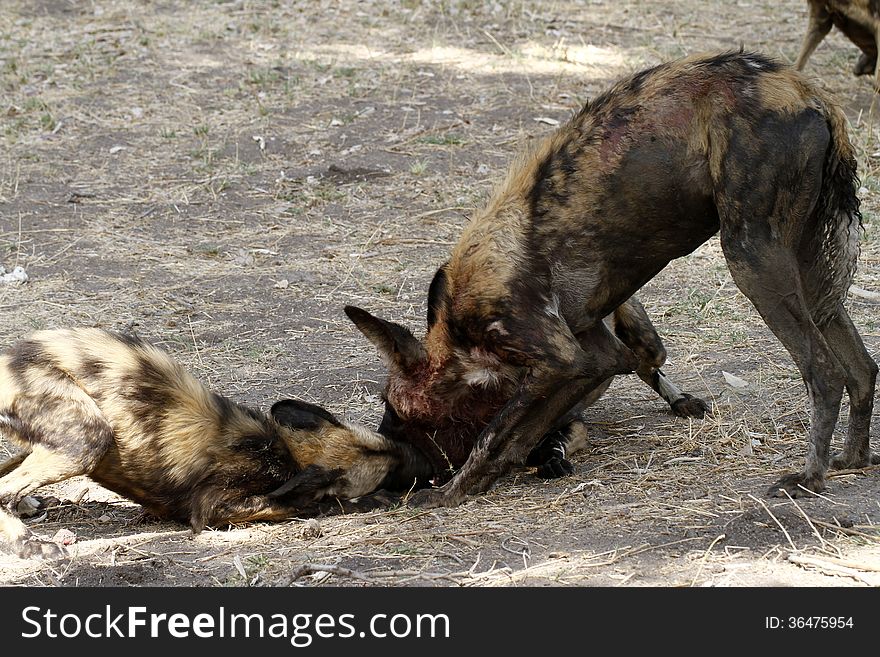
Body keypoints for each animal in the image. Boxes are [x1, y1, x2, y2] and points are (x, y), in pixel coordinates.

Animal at [0, 328, 434, 560]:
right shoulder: (213, 508)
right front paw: (360, 503)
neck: (284, 453)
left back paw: (28, 508)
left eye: (389, 444)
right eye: (390, 471)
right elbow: (305, 504)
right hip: (87, 439)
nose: (427, 460)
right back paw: (30, 545)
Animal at [348, 52, 876, 512]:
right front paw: (480, 484)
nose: (387, 444)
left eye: (392, 407)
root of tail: (806, 89)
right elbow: (517, 437)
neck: (458, 334)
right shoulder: (594, 357)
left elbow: (492, 436)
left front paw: (450, 493)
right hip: (805, 270)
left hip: (751, 258)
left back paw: (809, 478)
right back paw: (853, 459)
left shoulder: (560, 360)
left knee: (825, 372)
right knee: (862, 367)